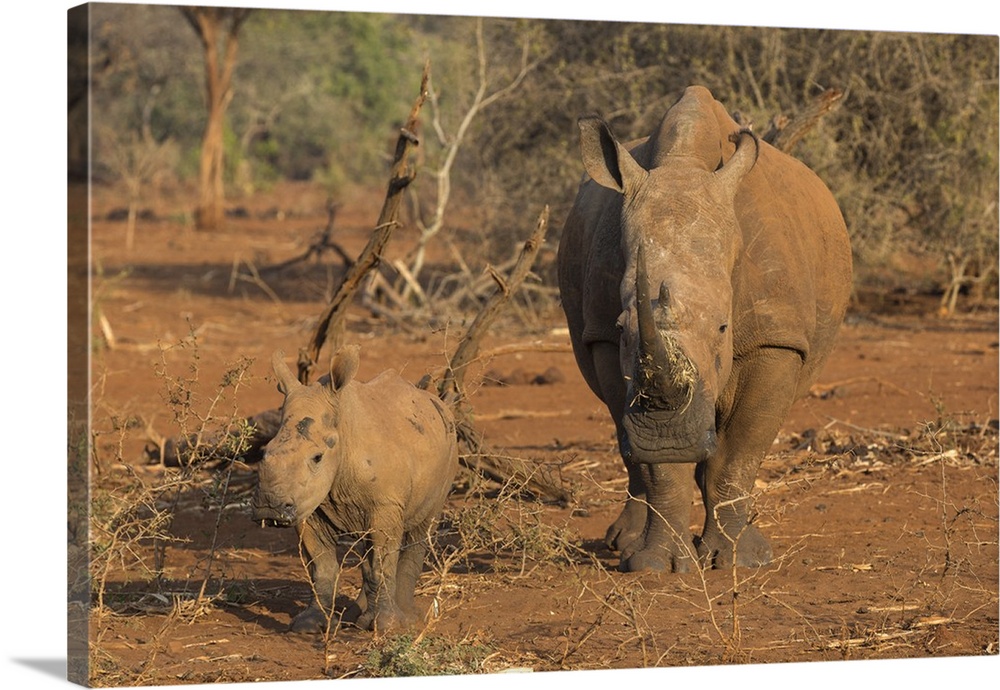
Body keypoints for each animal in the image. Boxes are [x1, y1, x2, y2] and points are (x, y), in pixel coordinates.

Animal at [252, 346, 458, 632]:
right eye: (263, 453)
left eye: (317, 457)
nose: (269, 507)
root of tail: (437, 401)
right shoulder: (309, 506)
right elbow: (323, 566)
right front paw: (310, 624)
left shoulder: (385, 504)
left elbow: (383, 563)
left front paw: (388, 627)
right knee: (367, 551)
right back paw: (357, 617)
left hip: (449, 451)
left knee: (422, 529)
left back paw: (408, 619)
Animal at [556, 84, 852, 568]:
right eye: (621, 326)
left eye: (723, 328)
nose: (670, 436)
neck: (684, 164)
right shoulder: (604, 340)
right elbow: (655, 466)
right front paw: (656, 564)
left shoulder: (775, 338)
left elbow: (740, 453)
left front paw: (736, 561)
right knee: (629, 443)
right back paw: (624, 543)